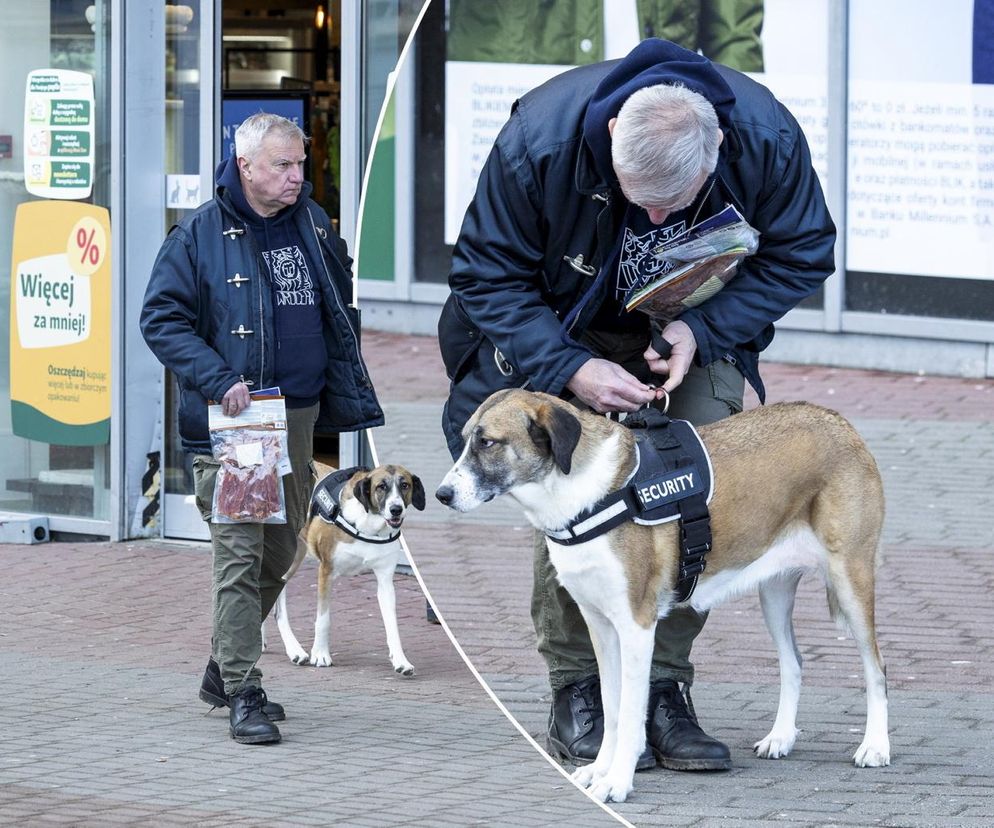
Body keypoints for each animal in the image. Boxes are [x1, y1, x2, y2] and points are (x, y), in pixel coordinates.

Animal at [272, 462, 426, 676]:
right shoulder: (326, 571)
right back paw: (293, 649)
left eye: (405, 485)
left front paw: (401, 660)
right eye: (381, 487)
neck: (369, 525)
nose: (396, 509)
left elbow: (392, 626)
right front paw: (320, 654)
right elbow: (323, 619)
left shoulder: (385, 582)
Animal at [438, 392, 888, 804]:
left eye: (488, 442)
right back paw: (781, 737)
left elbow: (630, 709)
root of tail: (837, 421)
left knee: (876, 669)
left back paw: (875, 746)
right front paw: (601, 768)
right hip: (773, 591)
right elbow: (611, 707)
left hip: (850, 578)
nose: (442, 495)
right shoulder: (600, 625)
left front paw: (617, 781)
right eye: (465, 439)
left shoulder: (636, 625)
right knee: (793, 661)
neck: (581, 495)